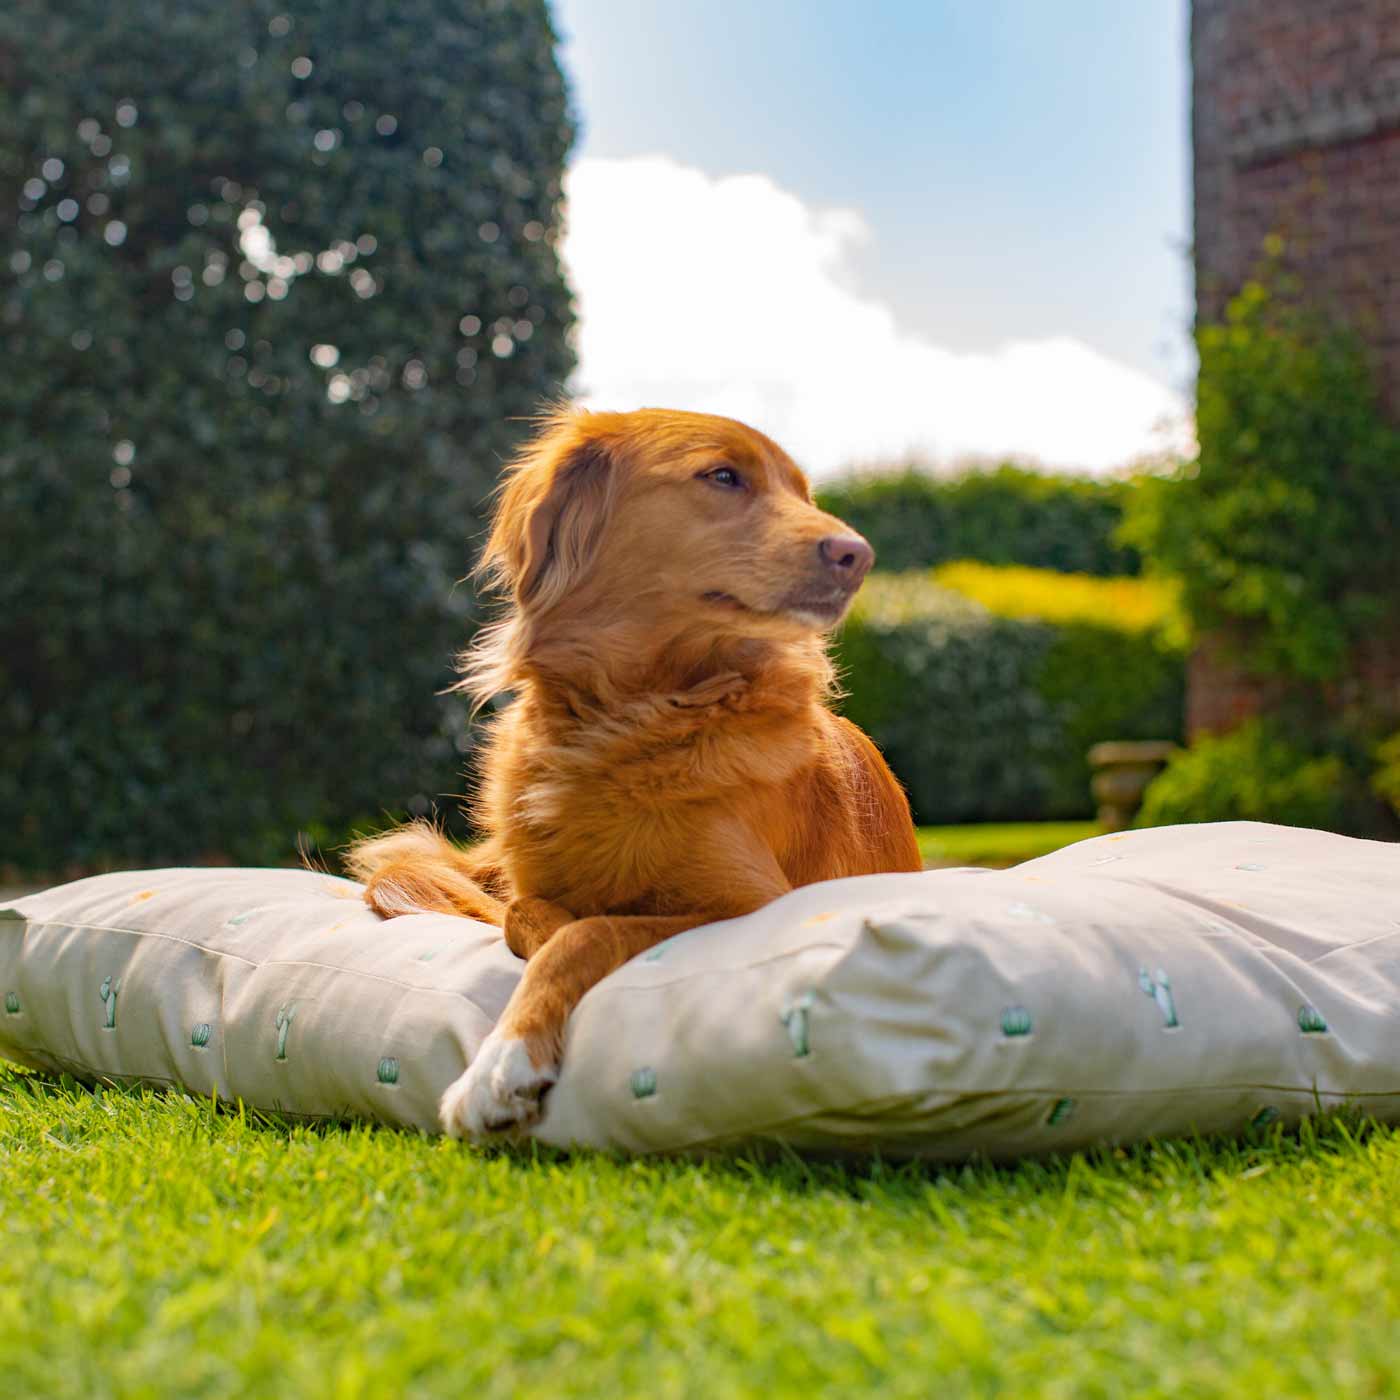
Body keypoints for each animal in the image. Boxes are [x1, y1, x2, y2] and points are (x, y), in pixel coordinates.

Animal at [347, 406, 918, 1136]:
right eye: (723, 476)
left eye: (803, 493)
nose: (858, 555)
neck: (632, 718)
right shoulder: (534, 883)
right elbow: (530, 915)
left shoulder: (756, 904)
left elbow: (588, 930)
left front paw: (501, 1062)